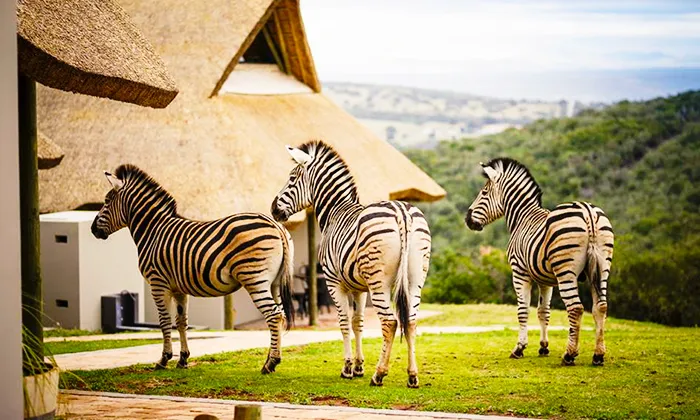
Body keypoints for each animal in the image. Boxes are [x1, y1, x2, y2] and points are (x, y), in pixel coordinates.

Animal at [91, 164, 295, 373]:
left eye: (106, 201)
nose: (92, 229)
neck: (153, 231)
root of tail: (276, 225)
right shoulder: (178, 289)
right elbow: (182, 322)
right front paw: (183, 359)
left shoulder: (158, 283)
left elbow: (164, 321)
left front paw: (163, 359)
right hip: (275, 282)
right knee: (280, 314)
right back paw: (273, 359)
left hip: (254, 278)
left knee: (273, 315)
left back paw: (270, 363)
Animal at [270, 140, 432, 388]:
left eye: (292, 178)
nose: (273, 209)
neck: (335, 212)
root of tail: (401, 212)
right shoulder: (359, 288)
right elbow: (358, 323)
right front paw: (358, 366)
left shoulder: (334, 282)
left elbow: (345, 322)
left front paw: (347, 368)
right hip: (415, 279)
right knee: (411, 322)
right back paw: (412, 376)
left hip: (379, 283)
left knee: (390, 322)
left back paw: (379, 374)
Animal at [464, 158, 613, 366]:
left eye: (484, 192)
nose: (467, 220)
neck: (521, 217)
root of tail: (588, 211)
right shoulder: (546, 280)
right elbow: (544, 311)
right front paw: (543, 347)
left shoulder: (519, 272)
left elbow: (523, 310)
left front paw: (519, 348)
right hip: (602, 268)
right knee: (600, 307)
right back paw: (598, 355)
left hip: (566, 271)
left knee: (576, 308)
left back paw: (569, 354)